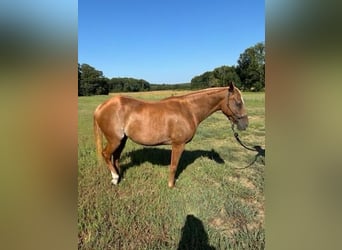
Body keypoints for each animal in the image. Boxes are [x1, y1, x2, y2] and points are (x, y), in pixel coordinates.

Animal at [93, 82, 248, 188]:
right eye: (238, 102)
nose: (245, 124)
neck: (188, 110)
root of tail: (101, 107)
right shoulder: (178, 144)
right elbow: (174, 166)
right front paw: (171, 185)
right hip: (115, 140)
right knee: (106, 154)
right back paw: (115, 178)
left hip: (122, 140)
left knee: (115, 157)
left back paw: (119, 175)